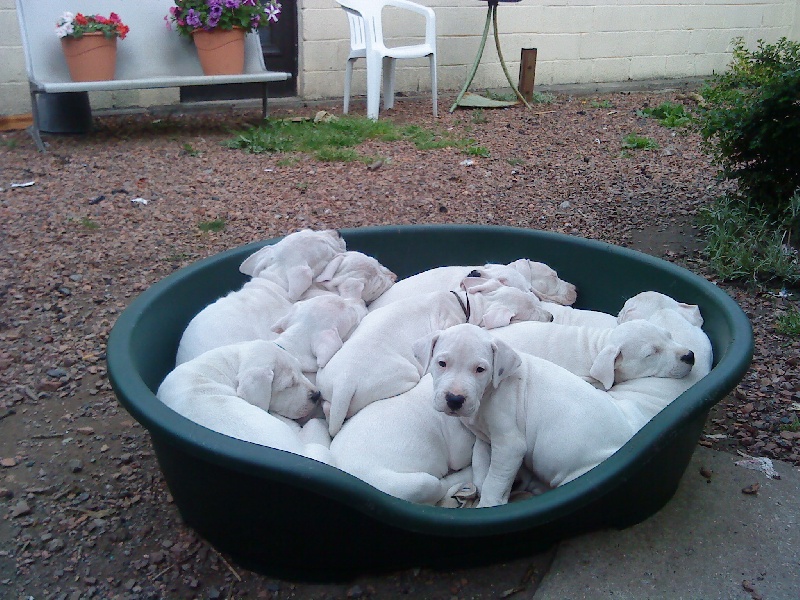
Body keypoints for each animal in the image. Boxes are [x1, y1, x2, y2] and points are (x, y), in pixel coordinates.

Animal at [316, 284, 552, 434]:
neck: (469, 303)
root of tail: (344, 381)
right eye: (532, 312)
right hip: (403, 377)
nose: (551, 317)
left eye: (536, 301)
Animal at [416, 324, 636, 506]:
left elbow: (494, 481)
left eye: (480, 369)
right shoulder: (485, 438)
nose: (454, 399)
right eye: (442, 363)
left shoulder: (510, 445)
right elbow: (481, 465)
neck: (488, 393)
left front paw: (488, 504)